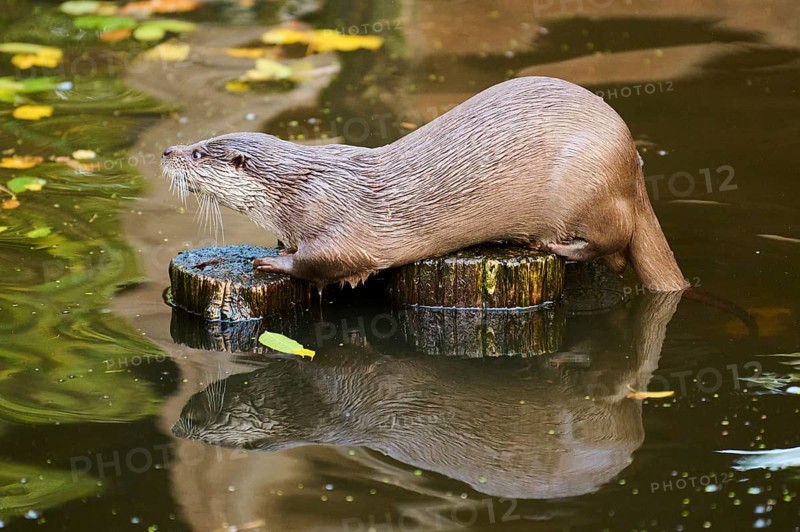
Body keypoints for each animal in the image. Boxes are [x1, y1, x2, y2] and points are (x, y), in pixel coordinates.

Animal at [161, 76, 689, 291]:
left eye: (198, 153)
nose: (167, 152)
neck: (300, 190)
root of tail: (631, 159)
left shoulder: (344, 224)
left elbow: (329, 260)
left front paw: (272, 261)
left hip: (588, 179)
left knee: (614, 243)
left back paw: (555, 246)